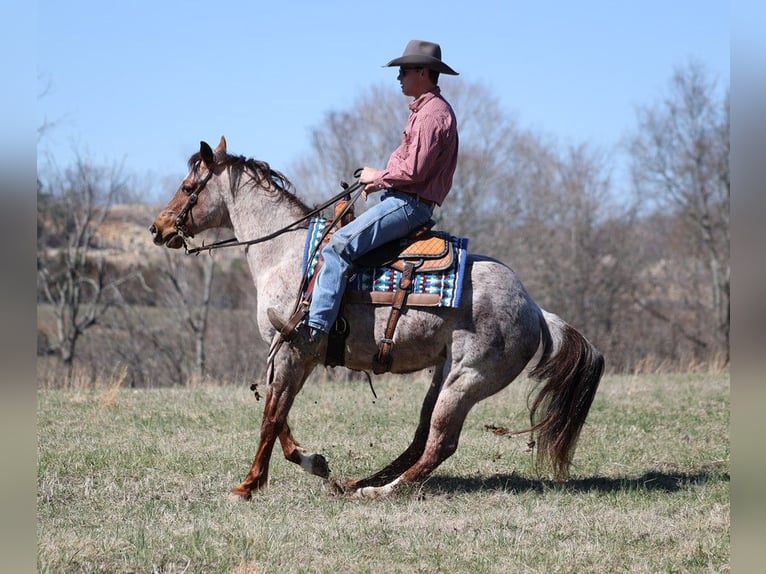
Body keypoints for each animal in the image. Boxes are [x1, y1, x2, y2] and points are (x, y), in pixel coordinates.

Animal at [150, 137, 608, 502]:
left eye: (188, 187)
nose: (157, 228)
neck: (287, 254)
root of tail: (534, 308)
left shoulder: (292, 351)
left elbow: (271, 418)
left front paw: (248, 485)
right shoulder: (292, 356)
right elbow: (279, 416)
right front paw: (315, 463)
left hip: (467, 381)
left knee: (440, 443)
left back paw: (382, 491)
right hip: (444, 377)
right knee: (421, 439)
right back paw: (360, 483)